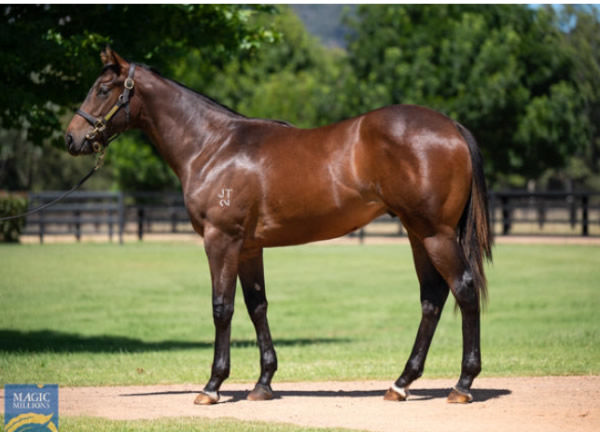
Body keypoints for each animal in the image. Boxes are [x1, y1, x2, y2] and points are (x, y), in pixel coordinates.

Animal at [65, 48, 492, 404]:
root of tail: (451, 127)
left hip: (435, 234)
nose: (72, 138)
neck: (212, 146)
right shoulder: (249, 248)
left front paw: (212, 386)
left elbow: (222, 308)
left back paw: (462, 385)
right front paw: (263, 383)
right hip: (417, 234)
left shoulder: (221, 241)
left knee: (464, 290)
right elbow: (257, 307)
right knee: (432, 299)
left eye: (103, 89)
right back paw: (401, 383)